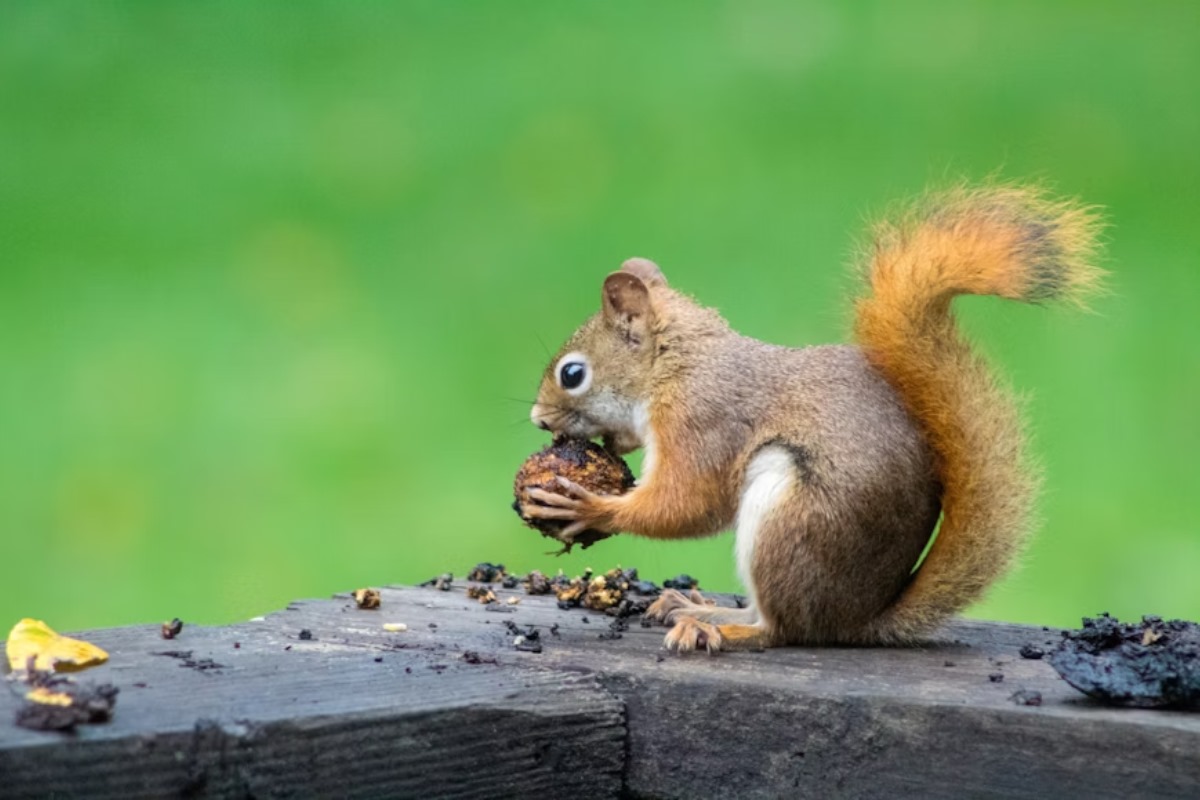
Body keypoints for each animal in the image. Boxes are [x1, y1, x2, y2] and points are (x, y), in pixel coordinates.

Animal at [520, 185, 1103, 652]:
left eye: (573, 374)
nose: (538, 419)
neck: (677, 365)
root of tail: (857, 620)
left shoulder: (703, 420)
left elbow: (688, 503)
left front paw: (590, 506)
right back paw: (694, 606)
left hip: (789, 519)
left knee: (781, 629)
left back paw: (719, 627)